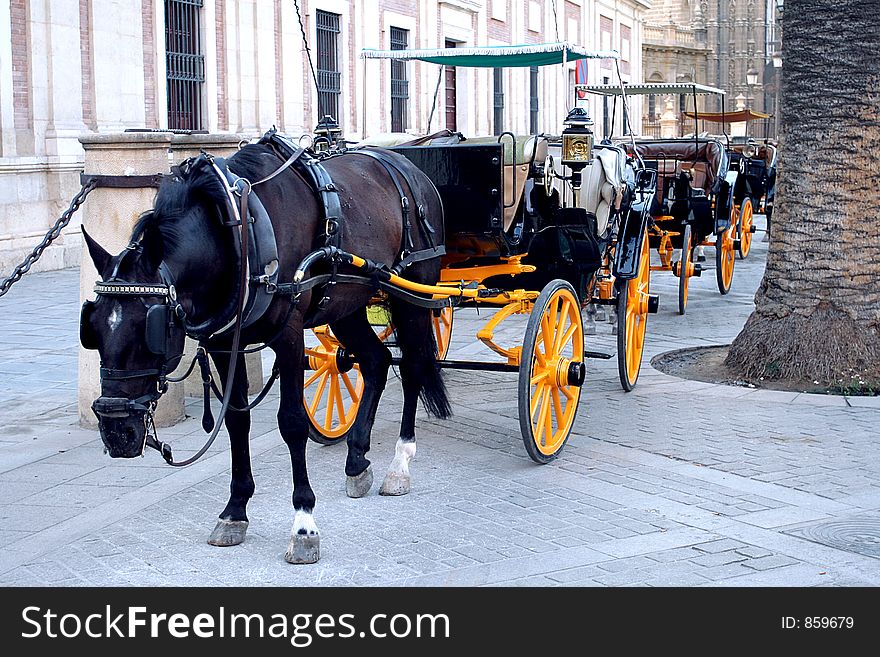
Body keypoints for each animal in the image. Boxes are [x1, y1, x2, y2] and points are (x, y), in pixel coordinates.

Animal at [79, 136, 450, 560]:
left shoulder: (288, 335)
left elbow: (292, 422)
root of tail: (405, 165)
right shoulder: (224, 344)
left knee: (414, 366)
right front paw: (234, 511)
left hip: (413, 292)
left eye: (149, 328)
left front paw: (304, 523)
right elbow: (236, 420)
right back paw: (356, 460)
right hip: (347, 305)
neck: (237, 233)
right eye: (92, 328)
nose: (116, 433)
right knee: (377, 361)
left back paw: (399, 464)